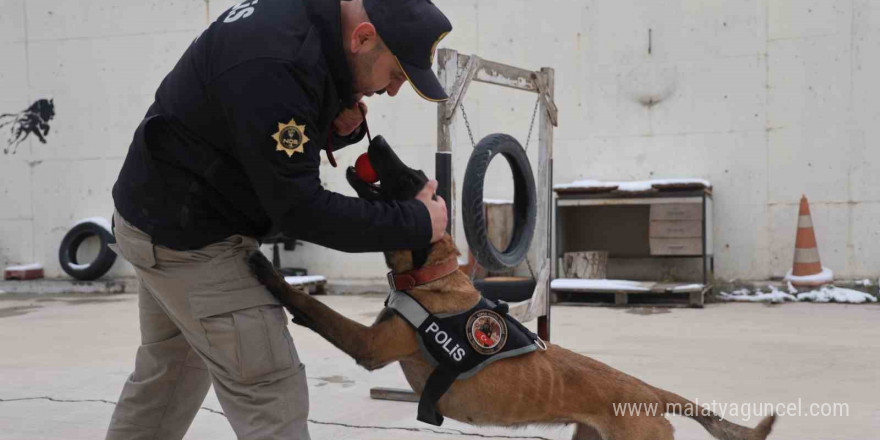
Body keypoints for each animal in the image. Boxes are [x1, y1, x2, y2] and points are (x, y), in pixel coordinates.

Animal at [244, 136, 772, 438]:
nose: (376, 139)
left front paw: (267, 270)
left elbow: (316, 309)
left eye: (411, 176)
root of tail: (650, 392)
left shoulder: (370, 345)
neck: (433, 277)